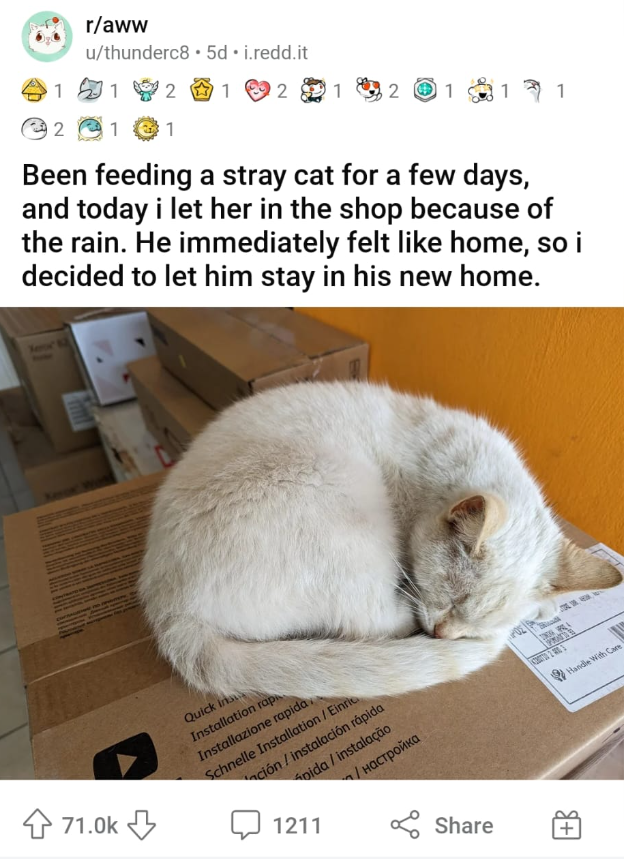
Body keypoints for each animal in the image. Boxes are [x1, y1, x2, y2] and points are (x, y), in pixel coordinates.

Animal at [140, 382, 621, 699]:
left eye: (475, 625)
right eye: (451, 600)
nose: (444, 635)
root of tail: (168, 608)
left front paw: (545, 607)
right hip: (341, 499)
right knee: (371, 621)